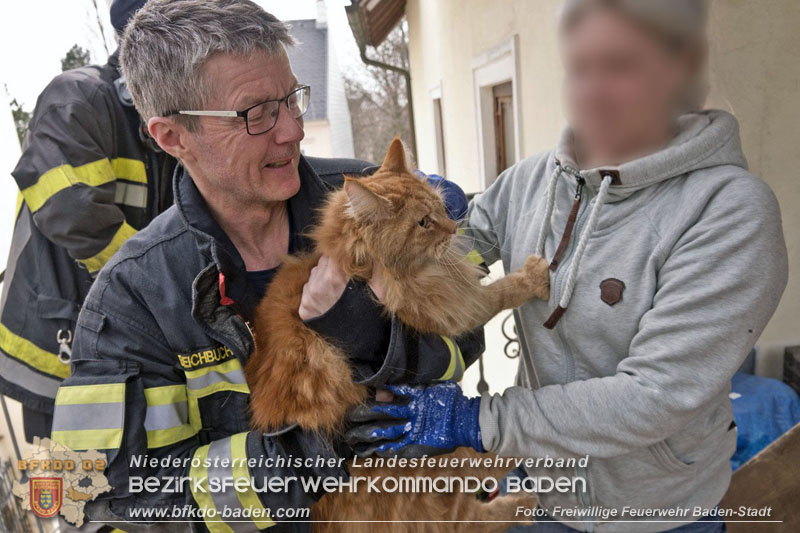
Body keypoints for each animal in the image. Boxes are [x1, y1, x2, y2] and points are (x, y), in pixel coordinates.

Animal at [248, 139, 552, 528]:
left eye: (440, 206)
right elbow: (502, 291)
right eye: (423, 223)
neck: (359, 267)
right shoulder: (453, 307)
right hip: (425, 467)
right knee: (472, 495)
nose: (453, 228)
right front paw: (535, 277)